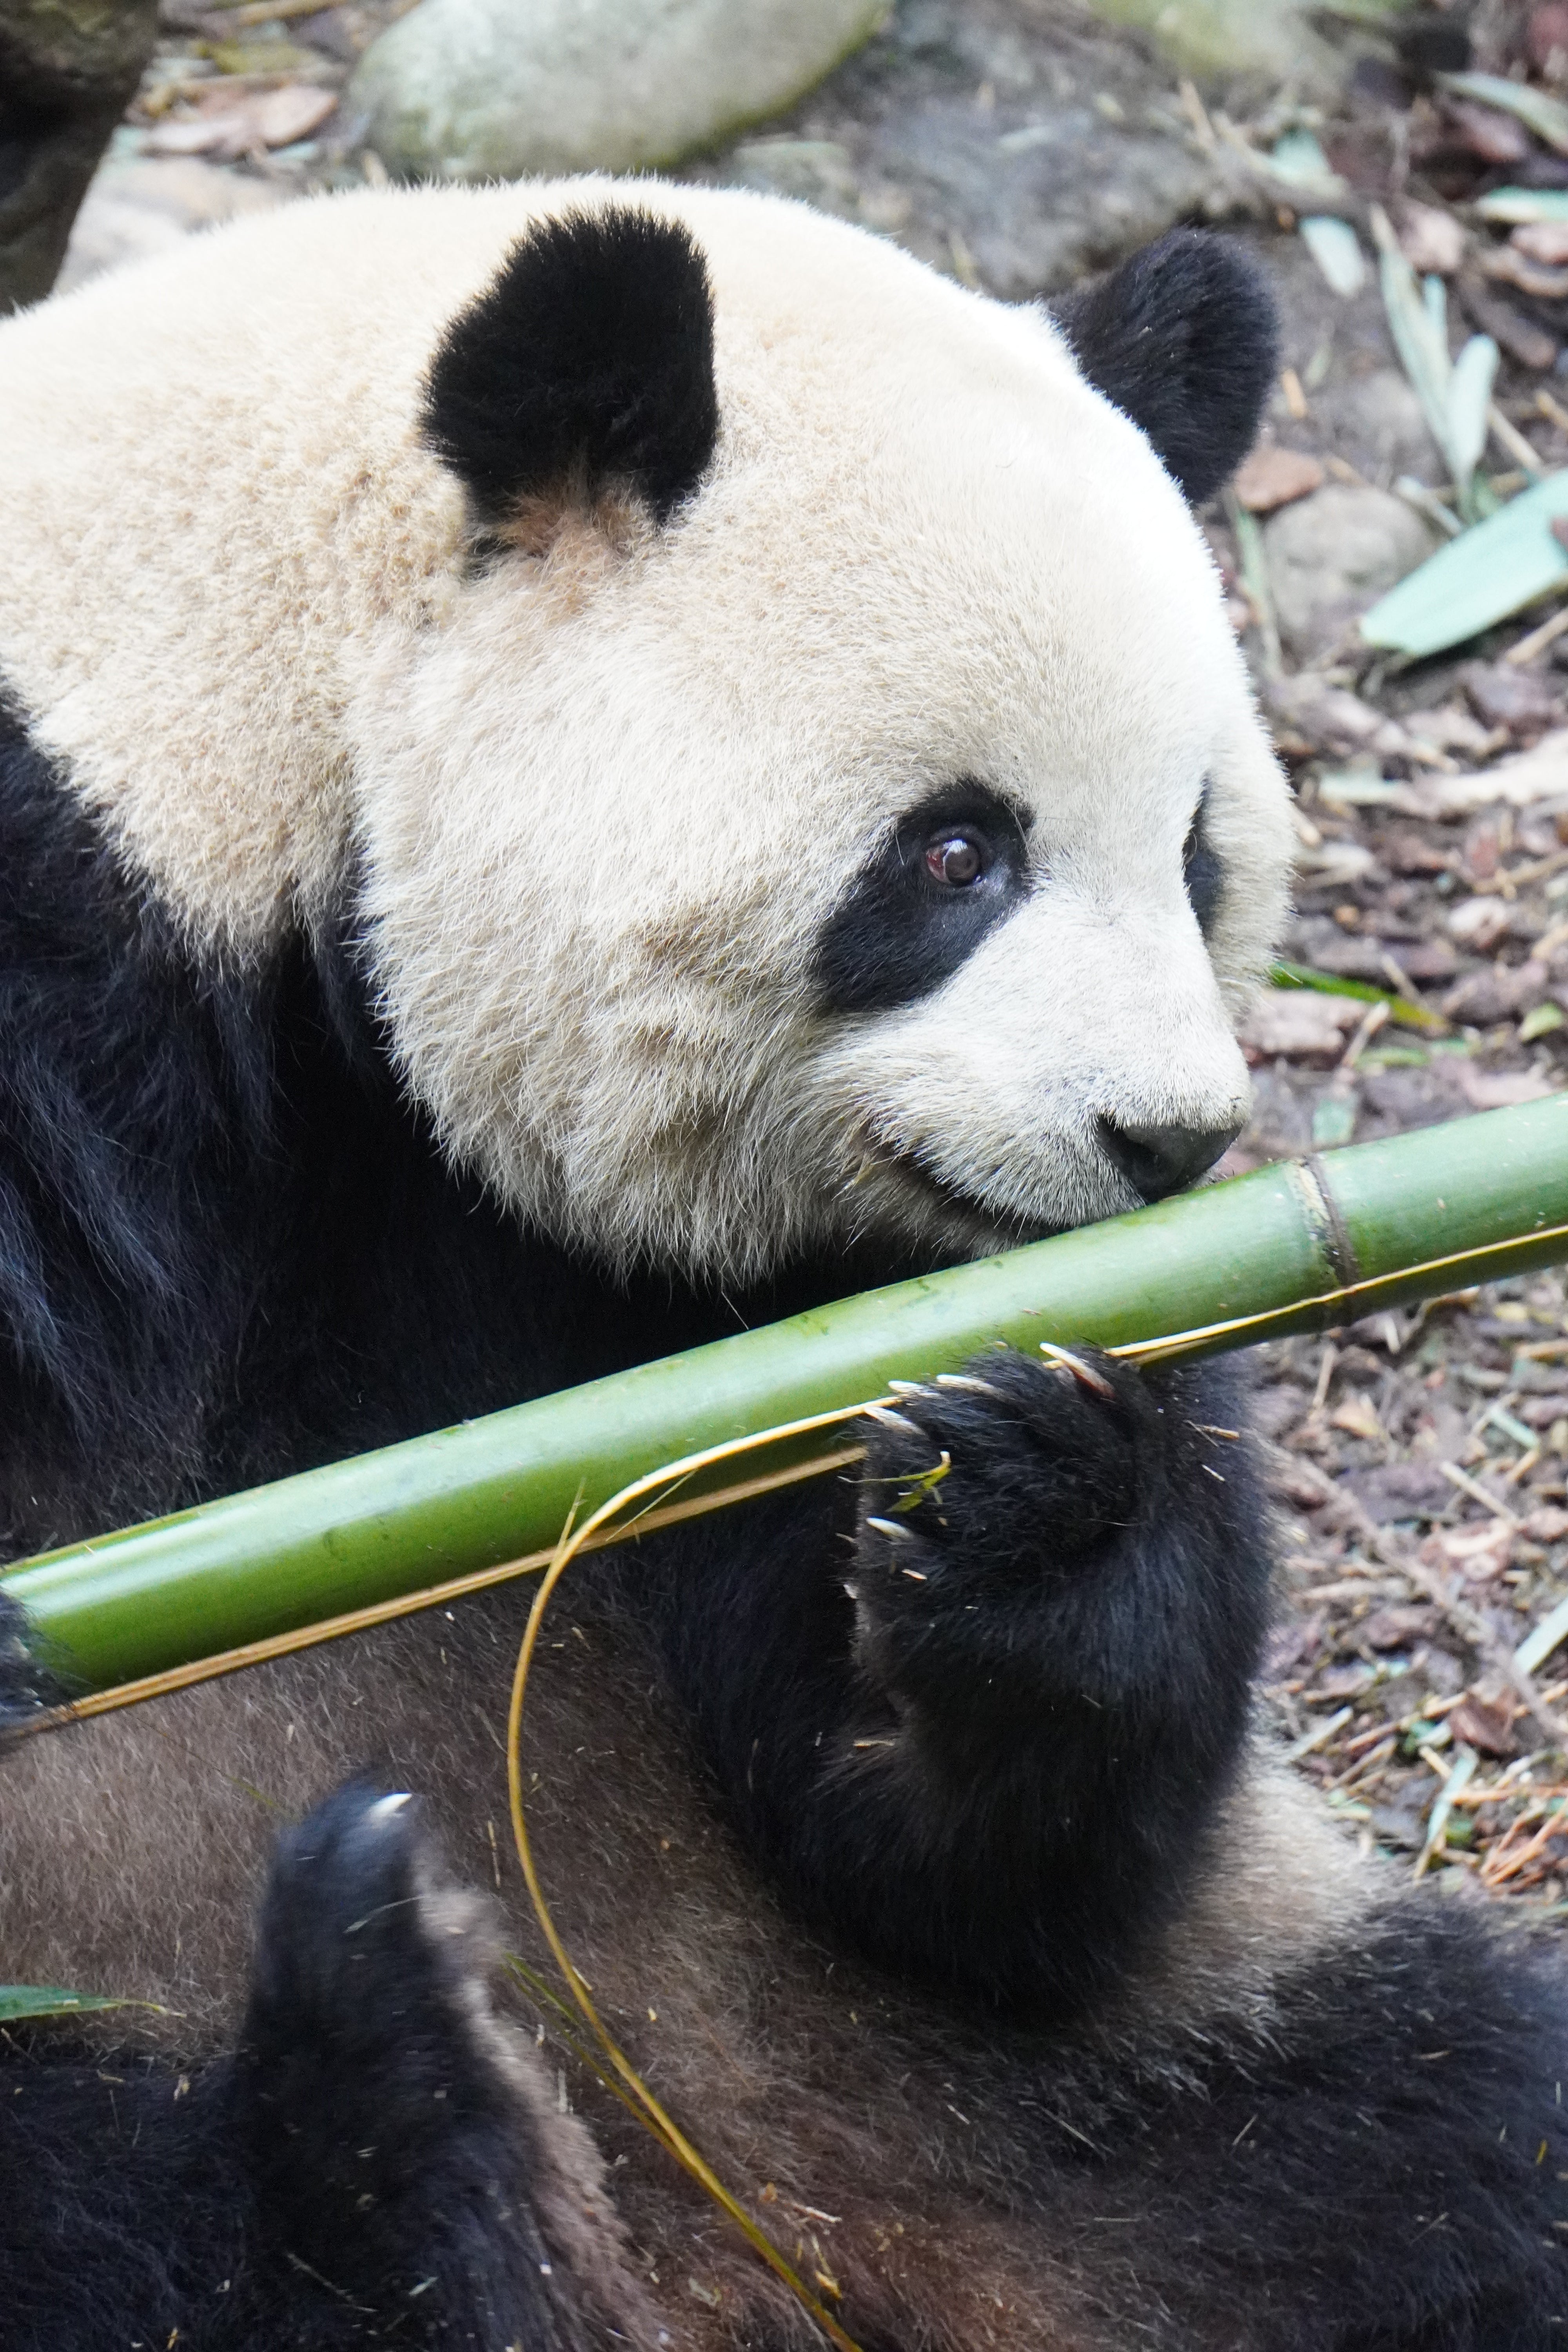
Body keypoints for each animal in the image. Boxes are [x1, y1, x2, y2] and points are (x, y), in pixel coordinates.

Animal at [0, 183, 1561, 2352]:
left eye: (1194, 853)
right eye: (952, 854)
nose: (1166, 1142)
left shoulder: (727, 1324)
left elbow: (905, 1827)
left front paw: (1042, 1516)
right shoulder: (70, 923)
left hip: (1075, 2087)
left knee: (1436, 2134)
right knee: (91, 2209)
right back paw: (393, 2118)